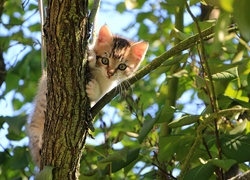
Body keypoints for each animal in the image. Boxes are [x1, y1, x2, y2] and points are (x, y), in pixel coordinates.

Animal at [26, 25, 148, 167]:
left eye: (122, 66)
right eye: (105, 60)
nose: (110, 73)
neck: (100, 75)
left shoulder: (107, 87)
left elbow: (99, 95)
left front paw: (93, 89)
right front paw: (91, 57)